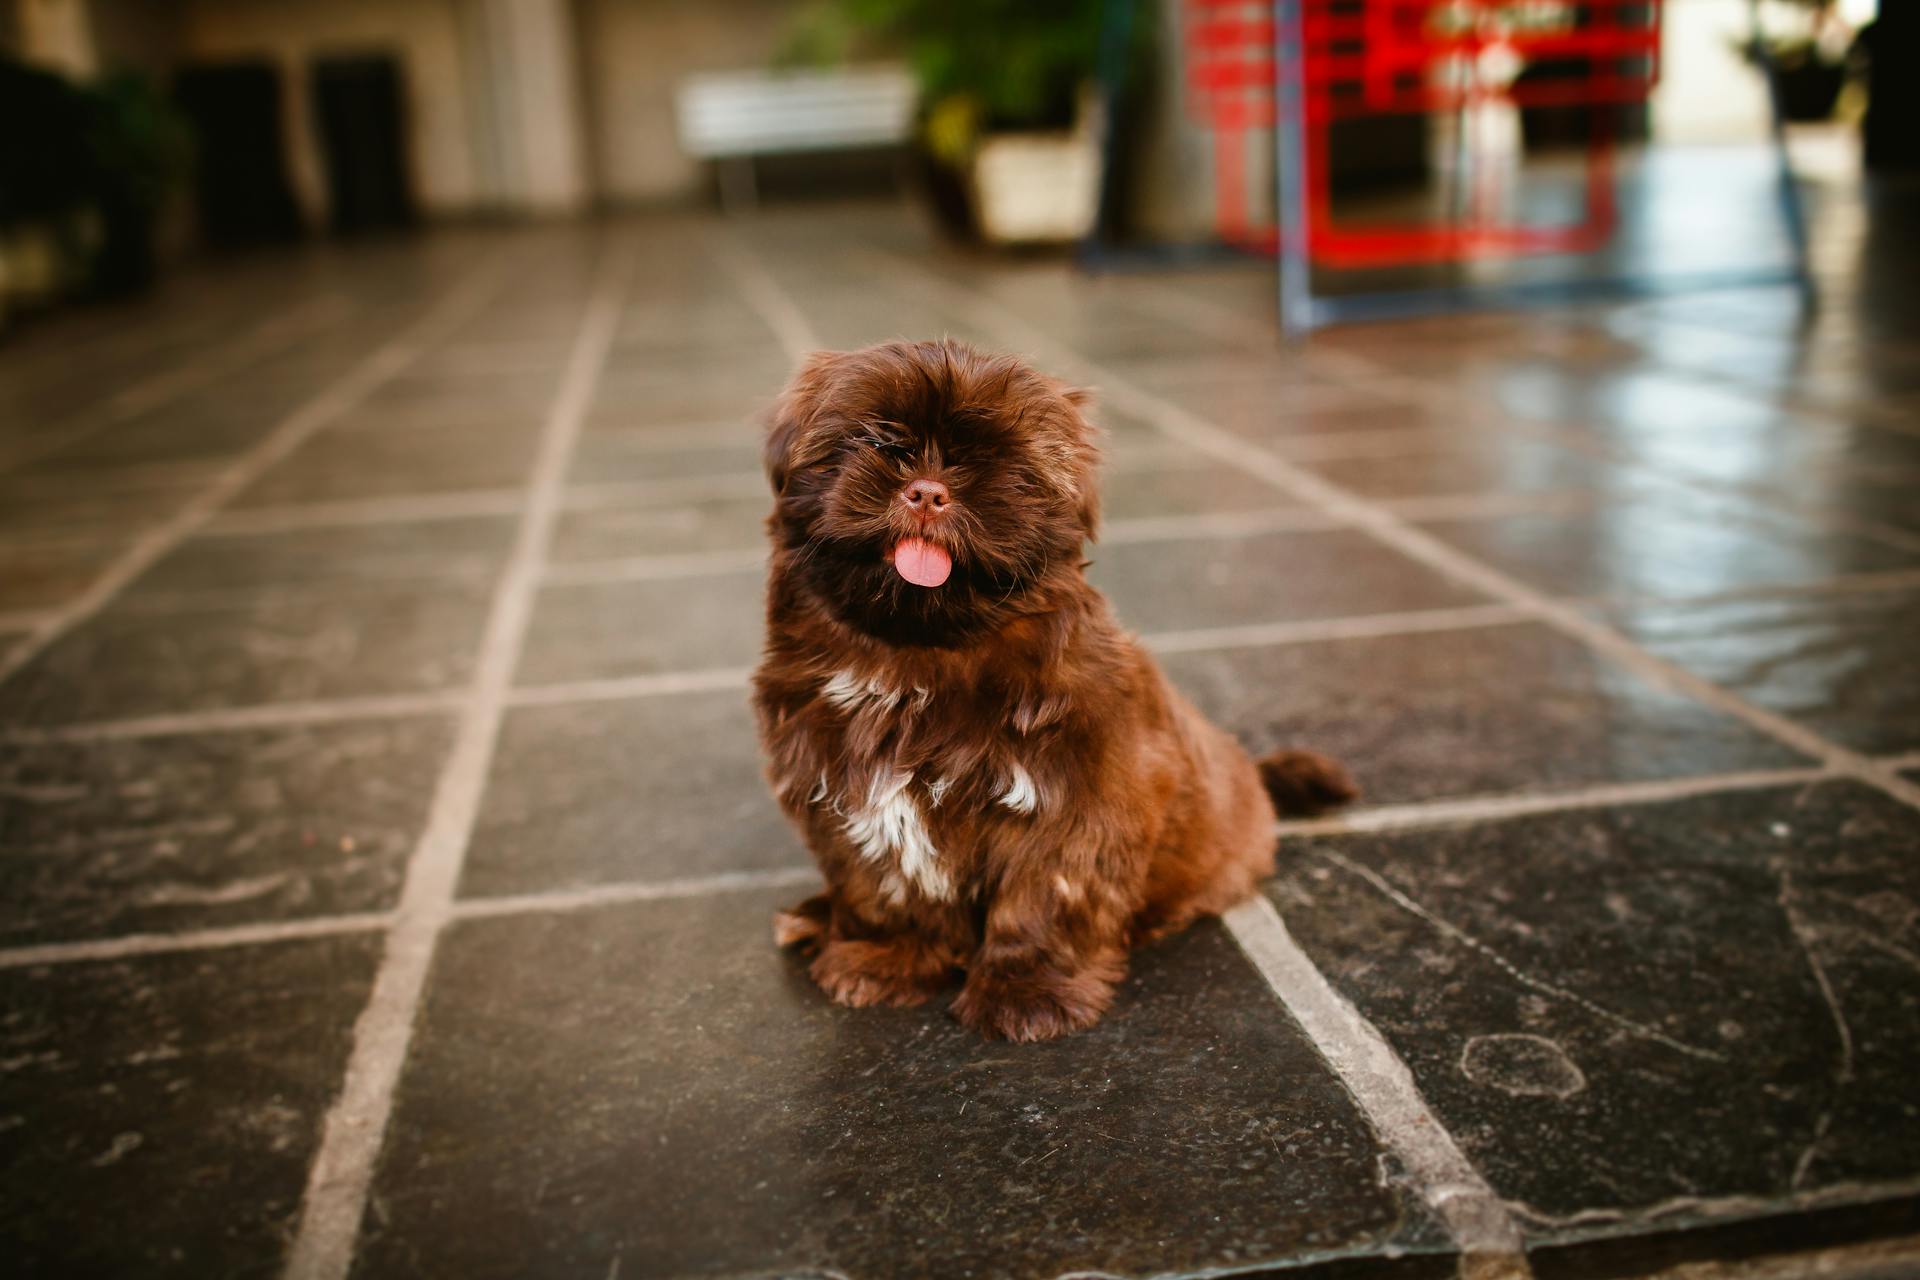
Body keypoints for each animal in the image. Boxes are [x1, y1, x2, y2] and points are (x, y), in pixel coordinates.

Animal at [748, 337, 1351, 1043]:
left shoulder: (1074, 798)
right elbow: (883, 883)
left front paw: (1026, 990)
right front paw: (888, 956)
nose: (927, 491)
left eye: (997, 460)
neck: (918, 655)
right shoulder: (848, 790)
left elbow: (1043, 896)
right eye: (877, 440)